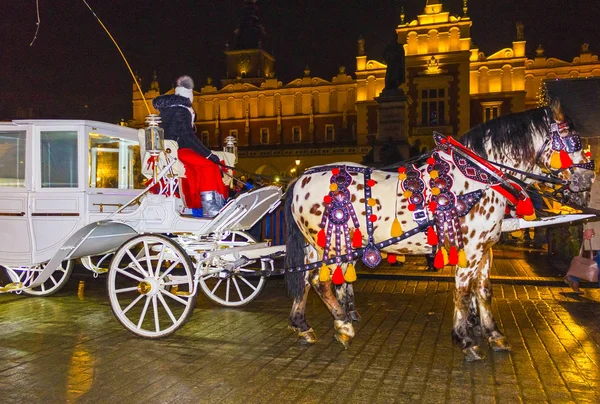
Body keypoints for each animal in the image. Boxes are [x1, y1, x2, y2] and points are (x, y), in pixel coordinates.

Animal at [284, 97, 592, 360]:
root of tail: (300, 178)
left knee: (305, 280)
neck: (478, 180)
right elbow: (463, 292)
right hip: (333, 245)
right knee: (320, 281)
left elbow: (484, 291)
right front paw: (466, 340)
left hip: (315, 246)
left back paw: (304, 326)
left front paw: (494, 335)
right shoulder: (470, 250)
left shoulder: (486, 250)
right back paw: (343, 325)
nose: (588, 181)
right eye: (575, 140)